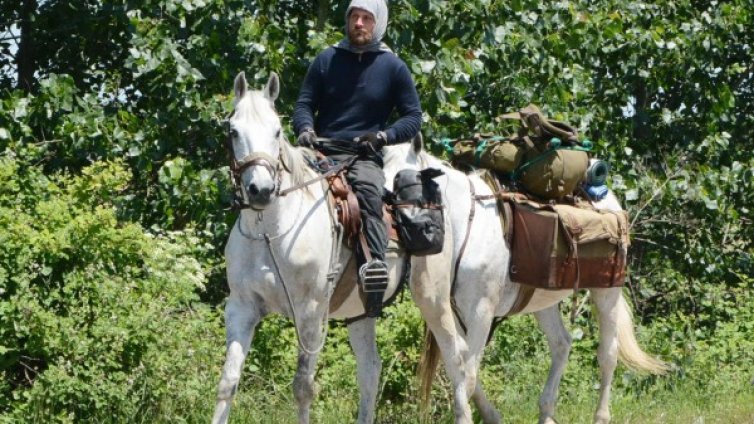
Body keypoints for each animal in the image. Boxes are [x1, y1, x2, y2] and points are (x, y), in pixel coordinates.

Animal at [378, 140, 668, 424]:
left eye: (404, 189)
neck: (465, 227)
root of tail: (610, 200)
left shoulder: (481, 313)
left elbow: (468, 375)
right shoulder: (453, 315)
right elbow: (459, 368)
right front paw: (492, 416)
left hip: (607, 291)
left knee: (608, 354)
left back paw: (600, 416)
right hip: (543, 299)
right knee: (561, 343)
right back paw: (546, 413)